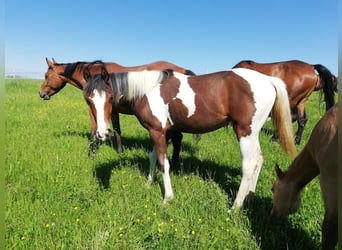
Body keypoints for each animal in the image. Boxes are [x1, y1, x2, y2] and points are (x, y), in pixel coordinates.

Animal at [38, 57, 194, 158]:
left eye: (46, 75)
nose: (41, 93)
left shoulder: (93, 110)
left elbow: (93, 131)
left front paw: (91, 152)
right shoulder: (113, 111)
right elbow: (117, 129)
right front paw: (120, 151)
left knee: (177, 138)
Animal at [83, 65, 296, 208]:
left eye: (110, 97)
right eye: (88, 99)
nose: (102, 133)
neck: (146, 90)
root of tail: (268, 80)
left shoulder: (158, 132)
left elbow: (164, 163)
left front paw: (167, 198)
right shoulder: (158, 131)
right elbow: (152, 157)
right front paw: (149, 183)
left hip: (245, 132)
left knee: (249, 164)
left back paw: (235, 207)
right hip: (254, 132)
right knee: (259, 159)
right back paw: (249, 197)